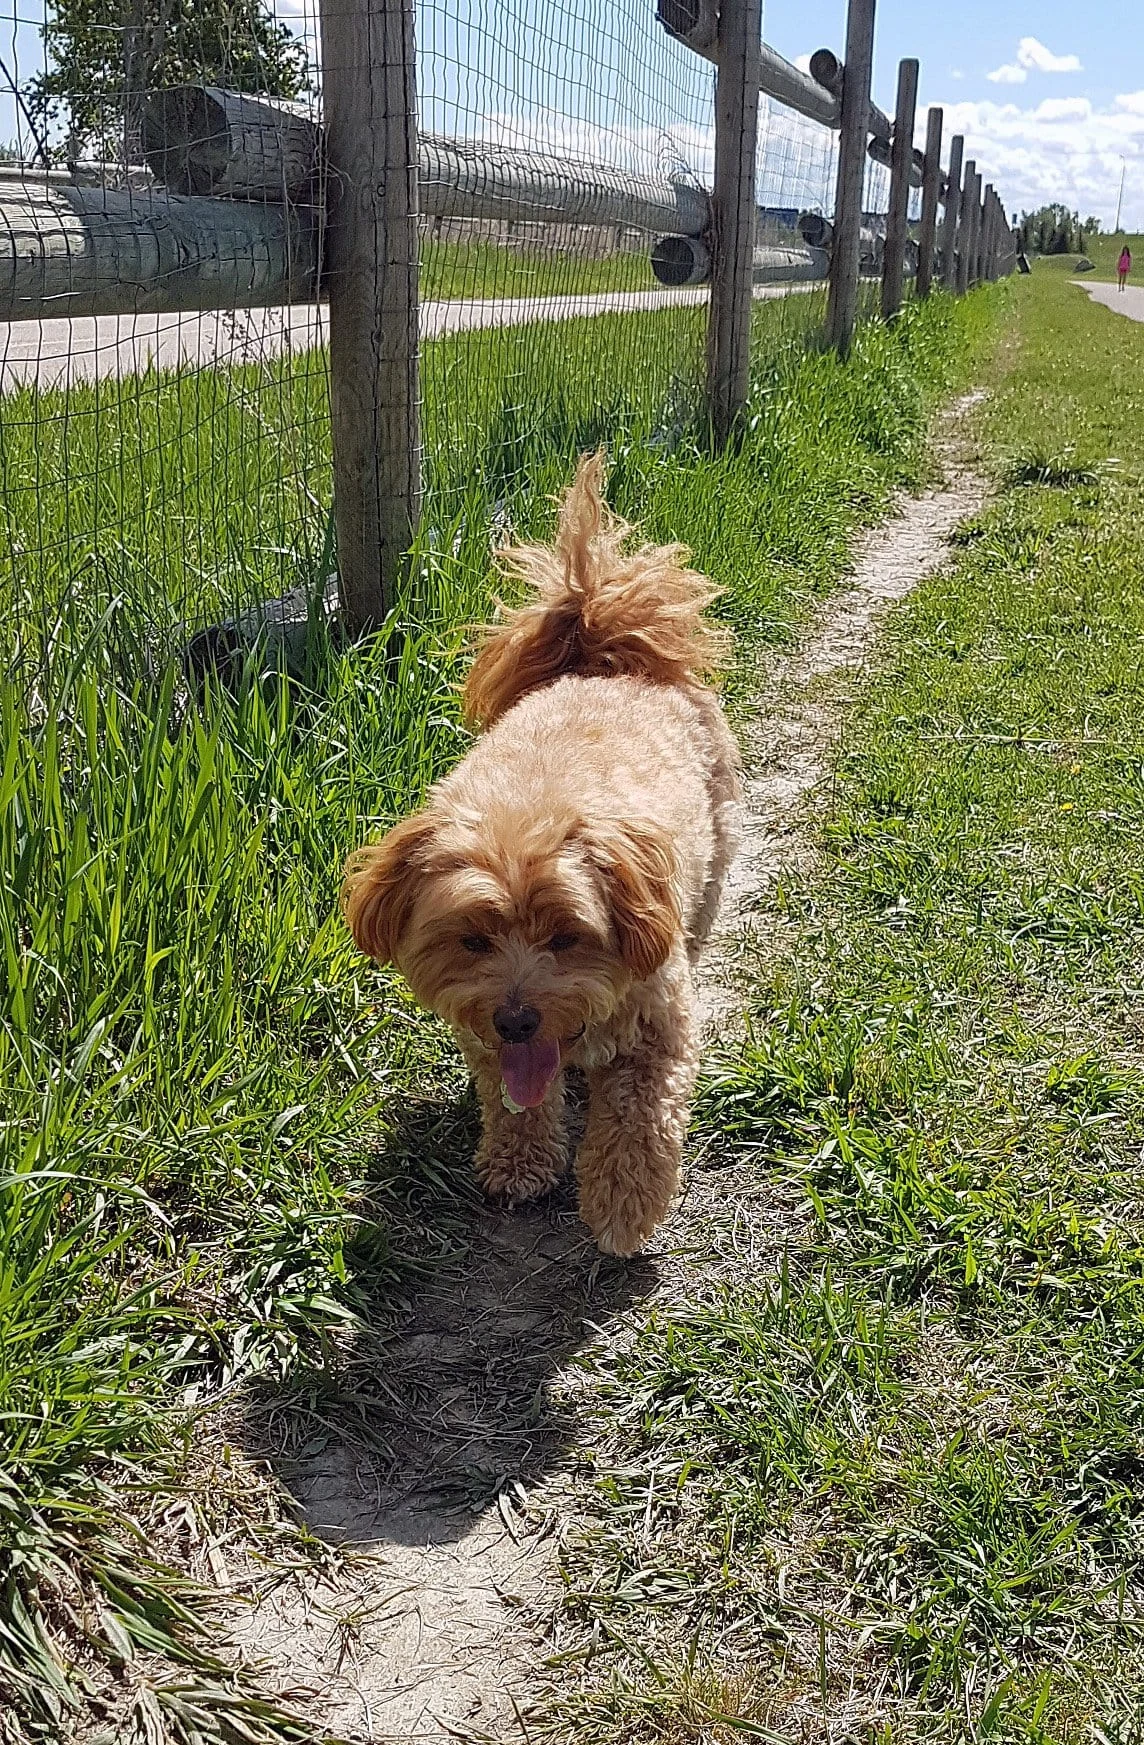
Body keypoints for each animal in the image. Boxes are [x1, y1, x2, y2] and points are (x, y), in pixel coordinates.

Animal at [340, 453, 742, 1256]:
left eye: (567, 936)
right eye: (473, 939)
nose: (518, 1018)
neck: (528, 807)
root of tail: (600, 644)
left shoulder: (660, 1022)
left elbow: (639, 1118)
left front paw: (622, 1202)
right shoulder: (489, 1038)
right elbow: (514, 1099)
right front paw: (519, 1161)